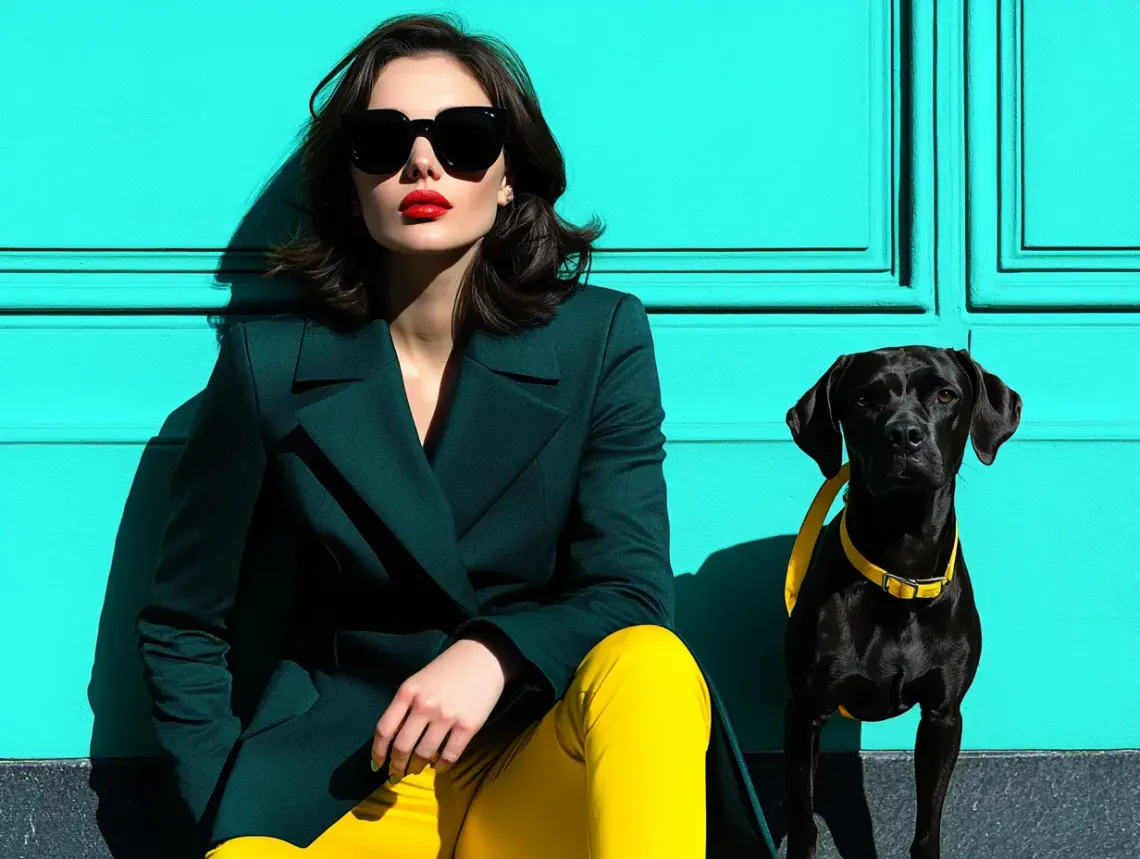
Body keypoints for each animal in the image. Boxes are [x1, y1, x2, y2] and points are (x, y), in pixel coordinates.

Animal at [784, 346, 1026, 856]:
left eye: (946, 394)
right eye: (863, 399)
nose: (903, 436)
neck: (899, 571)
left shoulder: (942, 716)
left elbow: (928, 822)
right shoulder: (804, 713)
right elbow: (803, 820)